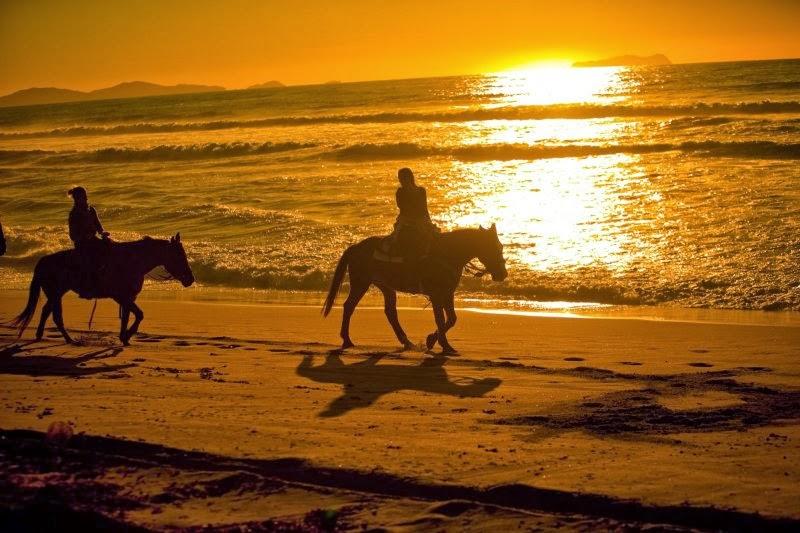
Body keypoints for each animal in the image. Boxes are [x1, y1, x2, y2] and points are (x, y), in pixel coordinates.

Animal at [10, 233, 194, 344]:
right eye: (179, 256)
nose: (190, 279)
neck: (133, 262)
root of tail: (43, 261)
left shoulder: (127, 298)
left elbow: (128, 316)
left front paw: (124, 337)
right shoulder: (122, 297)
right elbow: (139, 315)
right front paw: (127, 335)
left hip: (56, 293)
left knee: (46, 311)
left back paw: (44, 336)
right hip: (56, 293)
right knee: (54, 315)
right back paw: (68, 339)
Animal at [324, 223, 506, 354]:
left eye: (501, 246)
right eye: (491, 247)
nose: (502, 274)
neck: (448, 253)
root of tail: (356, 247)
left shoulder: (448, 293)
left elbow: (452, 319)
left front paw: (432, 340)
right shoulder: (436, 295)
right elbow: (440, 319)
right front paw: (444, 345)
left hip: (385, 286)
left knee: (390, 312)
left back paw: (406, 342)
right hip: (361, 282)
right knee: (349, 306)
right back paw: (347, 340)